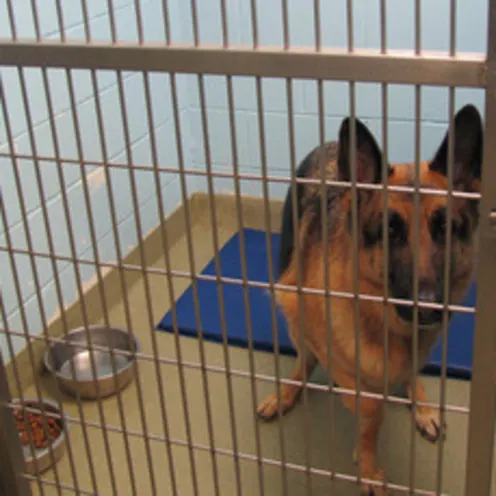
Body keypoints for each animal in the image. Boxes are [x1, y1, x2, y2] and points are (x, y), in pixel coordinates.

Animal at [258, 103, 482, 492]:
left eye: (446, 228)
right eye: (390, 230)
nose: (427, 307)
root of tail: (332, 143)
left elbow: (394, 386)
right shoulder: (302, 313)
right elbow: (369, 409)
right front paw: (367, 463)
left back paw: (421, 404)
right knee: (304, 360)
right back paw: (286, 392)